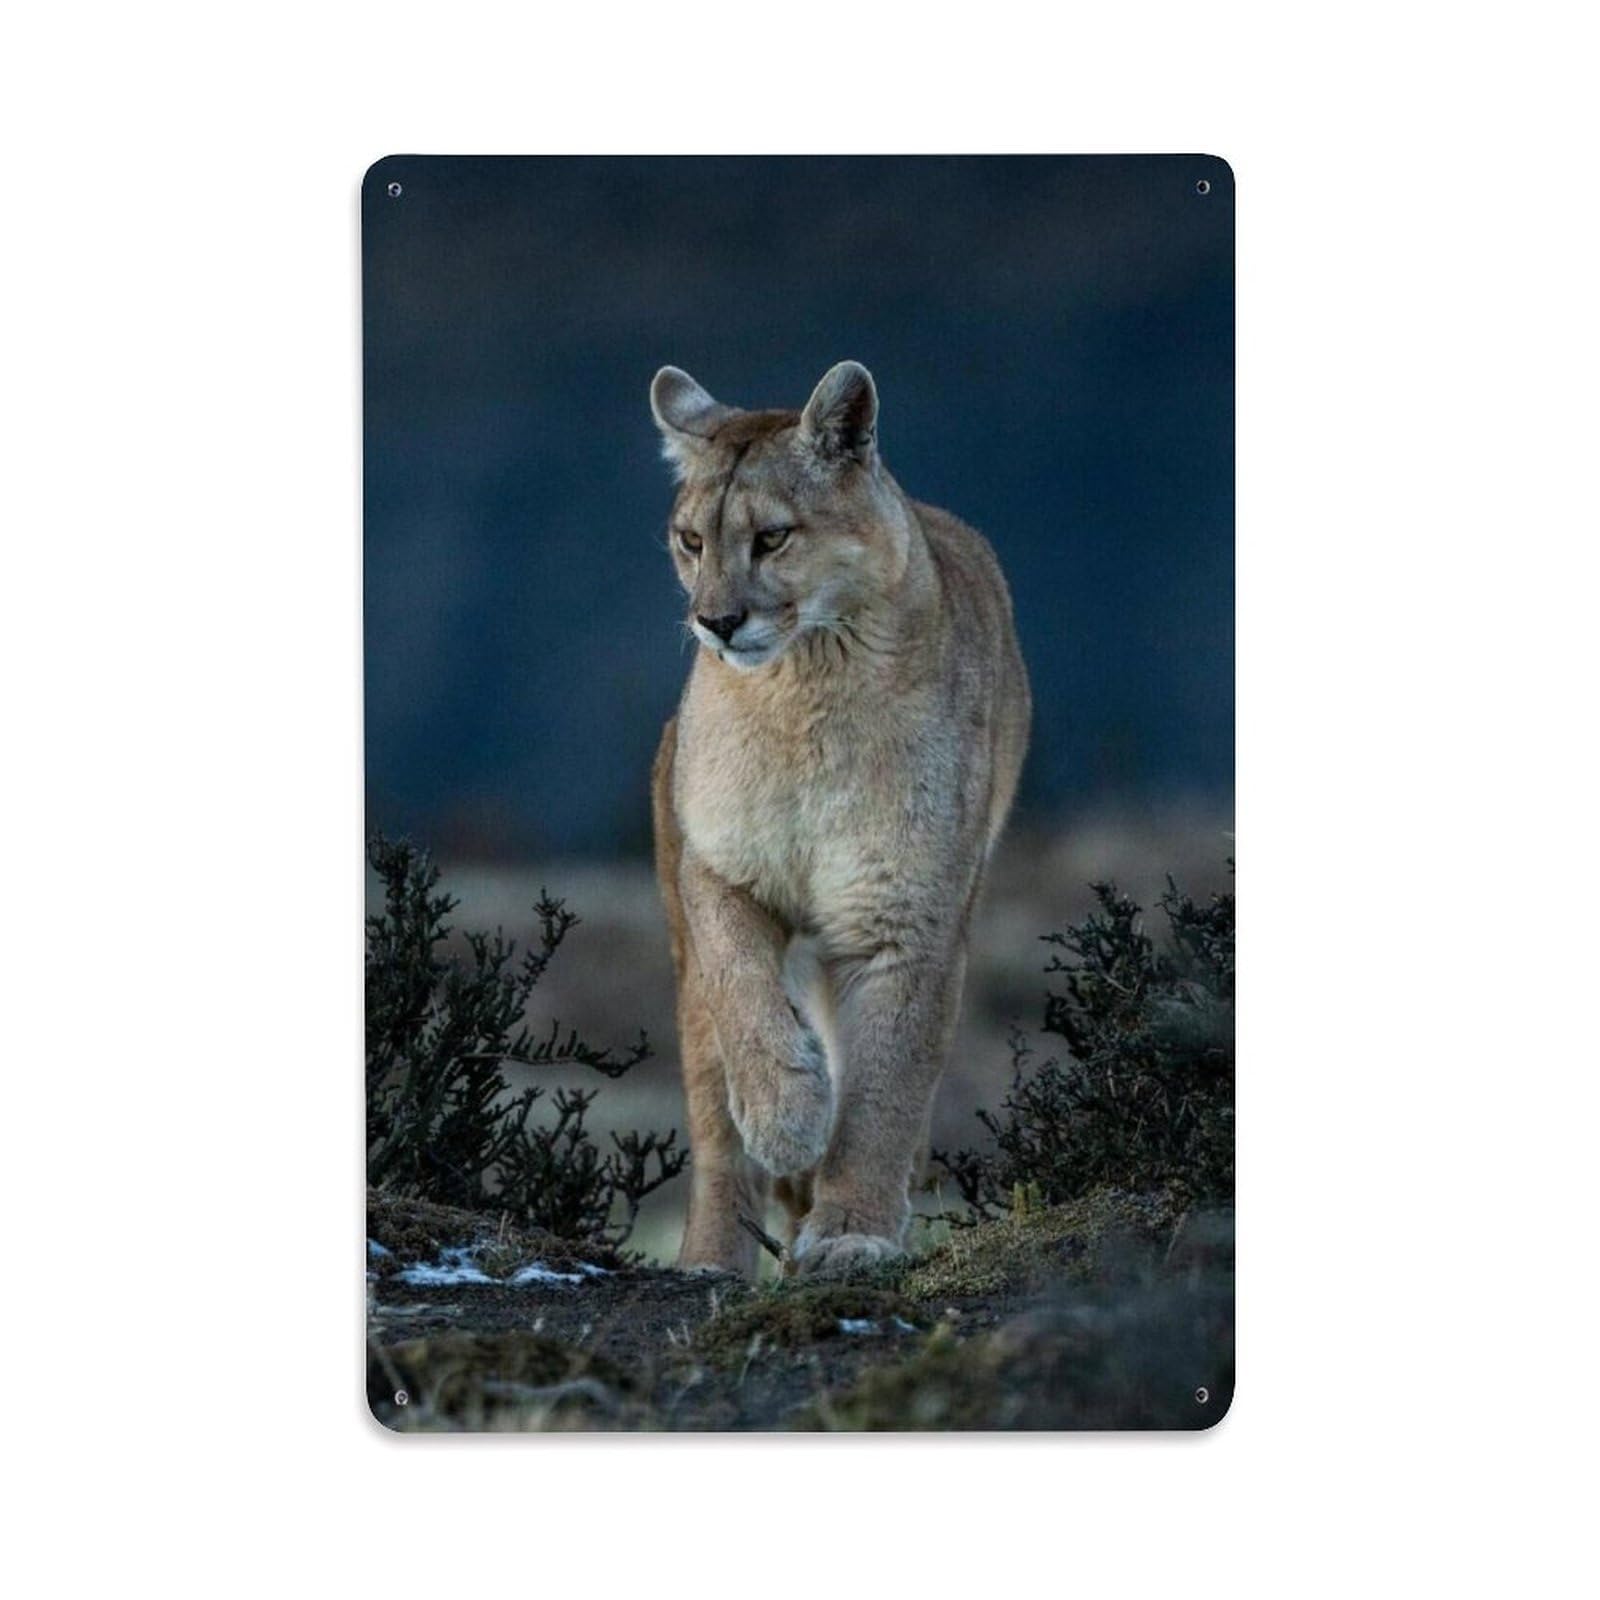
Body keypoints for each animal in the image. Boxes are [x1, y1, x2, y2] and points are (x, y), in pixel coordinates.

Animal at [649, 361, 1030, 1278]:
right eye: (691, 540)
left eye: (773, 537)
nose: (717, 620)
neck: (804, 696)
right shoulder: (717, 869)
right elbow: (744, 991)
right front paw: (789, 1117)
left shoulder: (906, 915)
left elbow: (886, 1085)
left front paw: (853, 1229)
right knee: (713, 1123)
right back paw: (713, 1254)